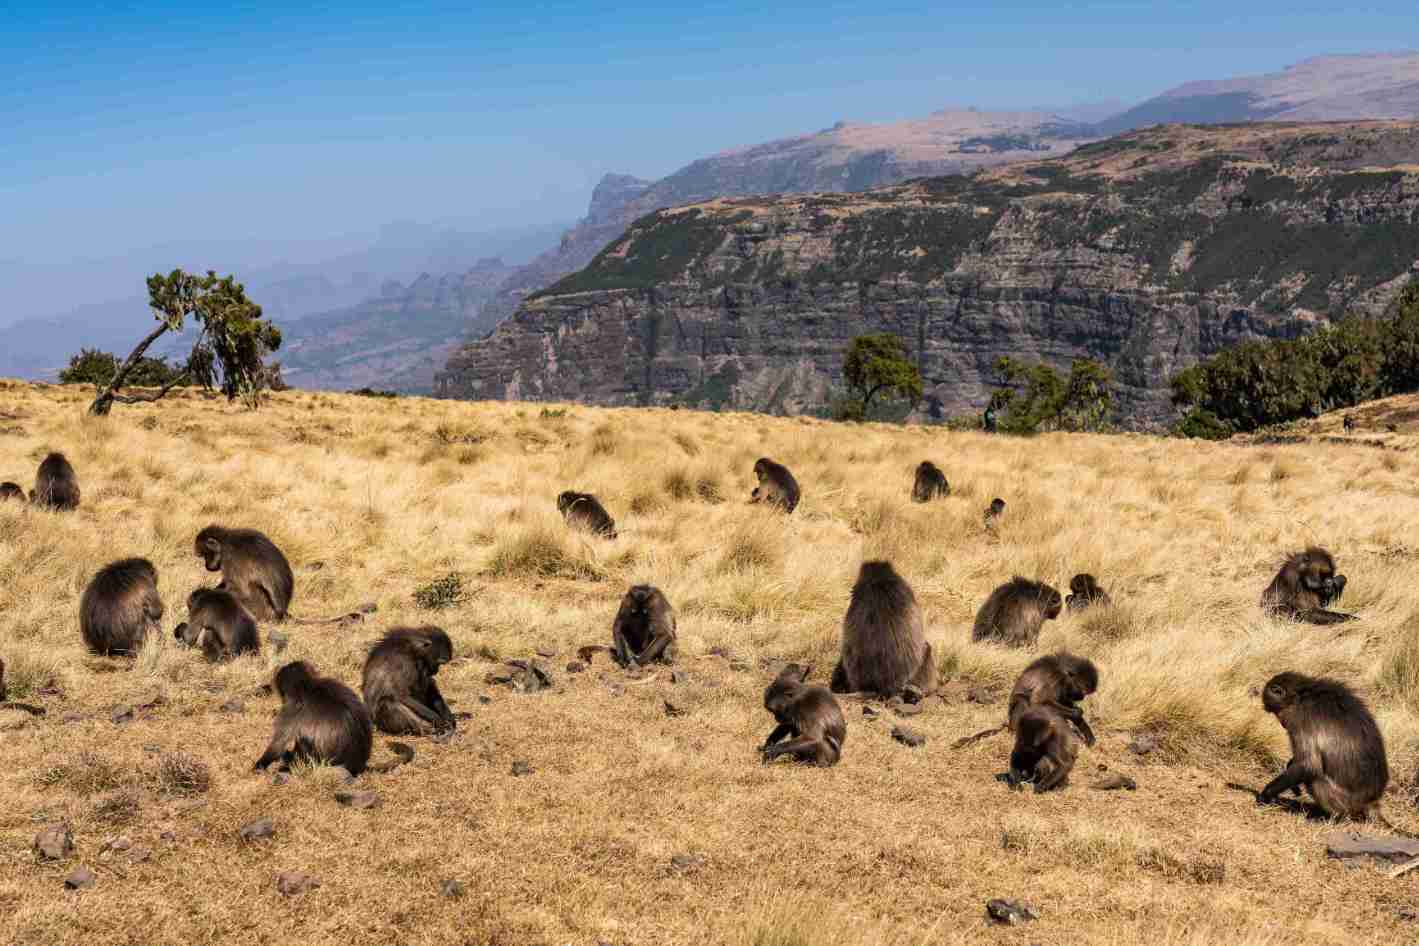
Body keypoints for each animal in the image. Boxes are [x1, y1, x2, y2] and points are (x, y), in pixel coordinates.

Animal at [1256, 671, 1387, 820]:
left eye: (1276, 713)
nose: (1283, 723)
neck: (1300, 695)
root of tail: (1371, 802)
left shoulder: (1301, 720)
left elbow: (1309, 764)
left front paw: (1266, 794)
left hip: (1343, 800)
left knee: (1315, 778)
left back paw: (1334, 818)